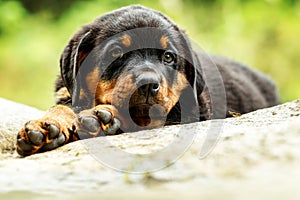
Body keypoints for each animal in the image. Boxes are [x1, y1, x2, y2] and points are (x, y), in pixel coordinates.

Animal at [16, 4, 278, 156]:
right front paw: (47, 125)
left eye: (168, 57)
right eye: (116, 53)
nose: (148, 84)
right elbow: (64, 105)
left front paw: (101, 118)